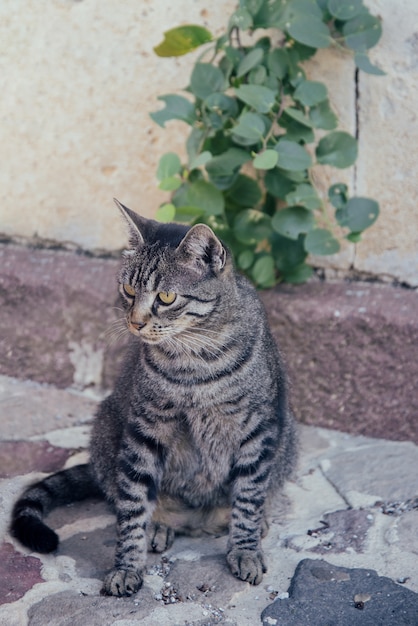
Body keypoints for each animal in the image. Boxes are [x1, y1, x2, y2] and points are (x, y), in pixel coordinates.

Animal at [9, 200, 298, 596]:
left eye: (166, 297)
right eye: (129, 289)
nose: (135, 322)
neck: (195, 362)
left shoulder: (257, 428)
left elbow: (249, 496)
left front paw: (245, 549)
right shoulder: (146, 427)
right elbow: (132, 505)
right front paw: (127, 567)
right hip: (107, 428)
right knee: (129, 496)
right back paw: (159, 524)